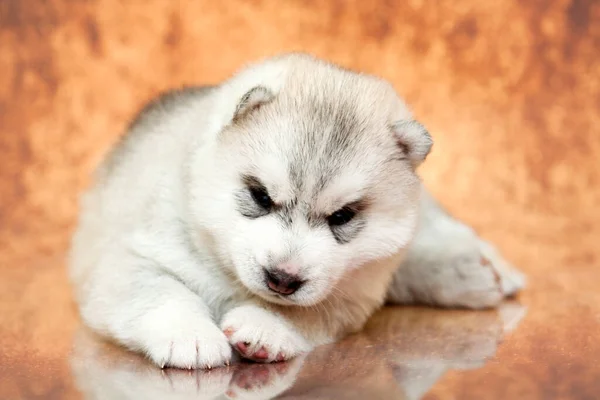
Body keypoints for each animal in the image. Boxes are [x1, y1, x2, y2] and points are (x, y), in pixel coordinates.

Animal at [68, 53, 524, 368]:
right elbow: (159, 290)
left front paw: (265, 326)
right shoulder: (127, 255)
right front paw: (190, 335)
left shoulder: (349, 295)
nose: (282, 279)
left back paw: (481, 271)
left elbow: (304, 311)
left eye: (342, 216)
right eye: (260, 197)